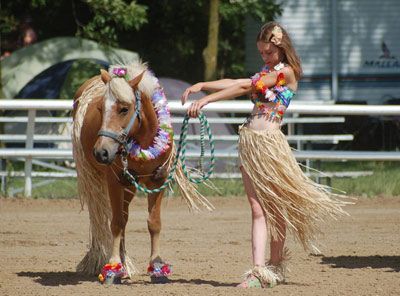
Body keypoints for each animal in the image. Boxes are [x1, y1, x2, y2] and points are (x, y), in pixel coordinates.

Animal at [71, 59, 212, 282]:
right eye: (100, 108)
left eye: (124, 108)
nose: (101, 152)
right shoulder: (114, 181)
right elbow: (116, 223)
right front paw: (112, 267)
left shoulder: (157, 181)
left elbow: (153, 223)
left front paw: (156, 268)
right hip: (96, 180)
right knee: (104, 218)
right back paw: (112, 264)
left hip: (129, 187)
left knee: (125, 217)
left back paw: (125, 266)